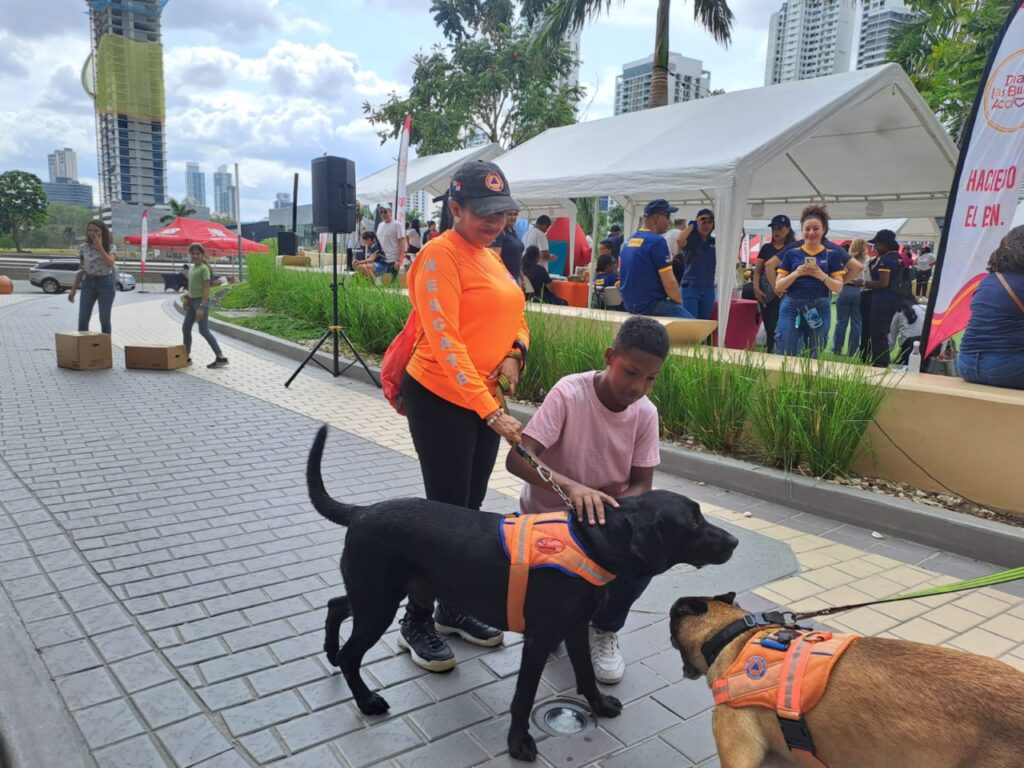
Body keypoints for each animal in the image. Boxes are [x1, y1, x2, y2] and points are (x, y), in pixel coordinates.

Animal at [303, 428, 737, 765]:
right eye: (693, 522)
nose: (734, 541)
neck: (591, 541)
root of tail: (360, 512)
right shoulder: (540, 637)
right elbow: (524, 697)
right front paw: (518, 742)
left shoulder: (574, 628)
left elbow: (585, 674)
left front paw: (598, 706)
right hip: (378, 603)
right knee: (351, 653)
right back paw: (365, 699)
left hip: (374, 595)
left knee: (336, 605)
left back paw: (329, 651)